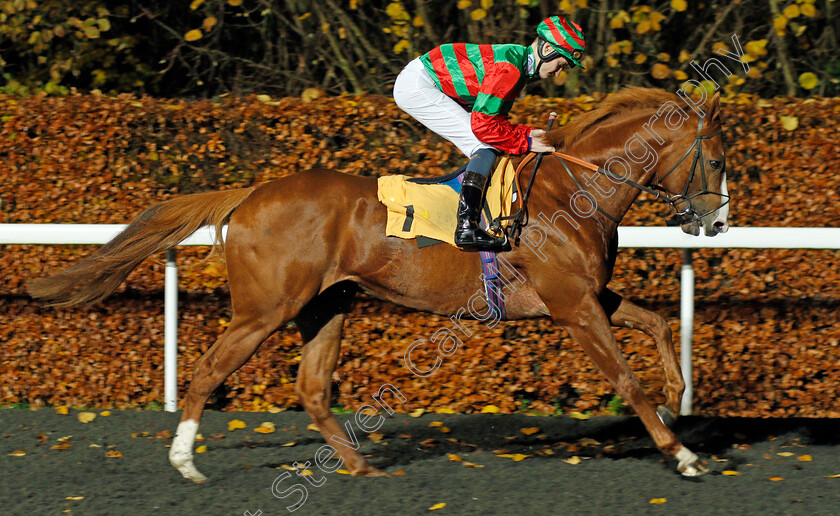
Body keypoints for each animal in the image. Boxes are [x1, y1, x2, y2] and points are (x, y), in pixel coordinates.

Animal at [27, 85, 728, 484]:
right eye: (718, 159)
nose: (717, 222)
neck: (571, 190)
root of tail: (251, 192)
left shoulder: (587, 295)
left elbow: (658, 323)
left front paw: (678, 398)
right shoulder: (573, 306)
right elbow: (626, 379)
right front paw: (680, 453)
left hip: (328, 305)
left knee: (311, 387)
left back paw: (358, 464)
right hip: (264, 307)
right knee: (207, 371)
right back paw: (186, 464)